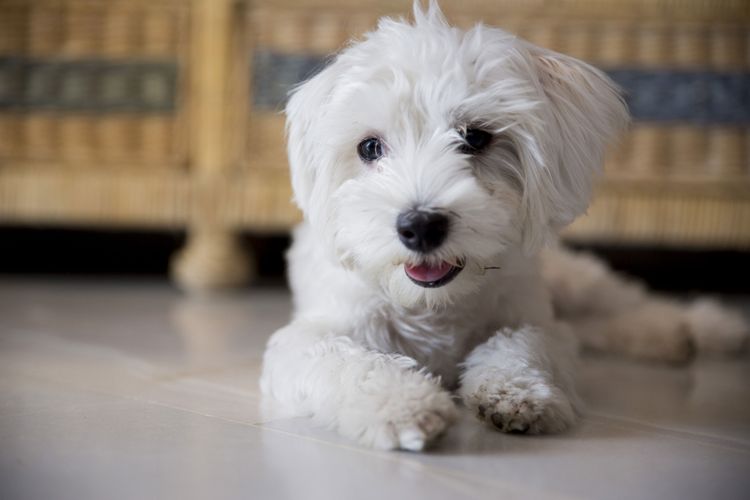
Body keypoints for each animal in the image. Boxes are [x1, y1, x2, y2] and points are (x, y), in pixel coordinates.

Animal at [262, 2, 748, 450]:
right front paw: (403, 403)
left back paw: (699, 328)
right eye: (369, 147)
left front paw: (514, 391)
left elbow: (522, 342)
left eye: (475, 137)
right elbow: (349, 360)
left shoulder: (535, 319)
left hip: (572, 280)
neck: (437, 305)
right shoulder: (309, 337)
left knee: (626, 301)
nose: (421, 226)